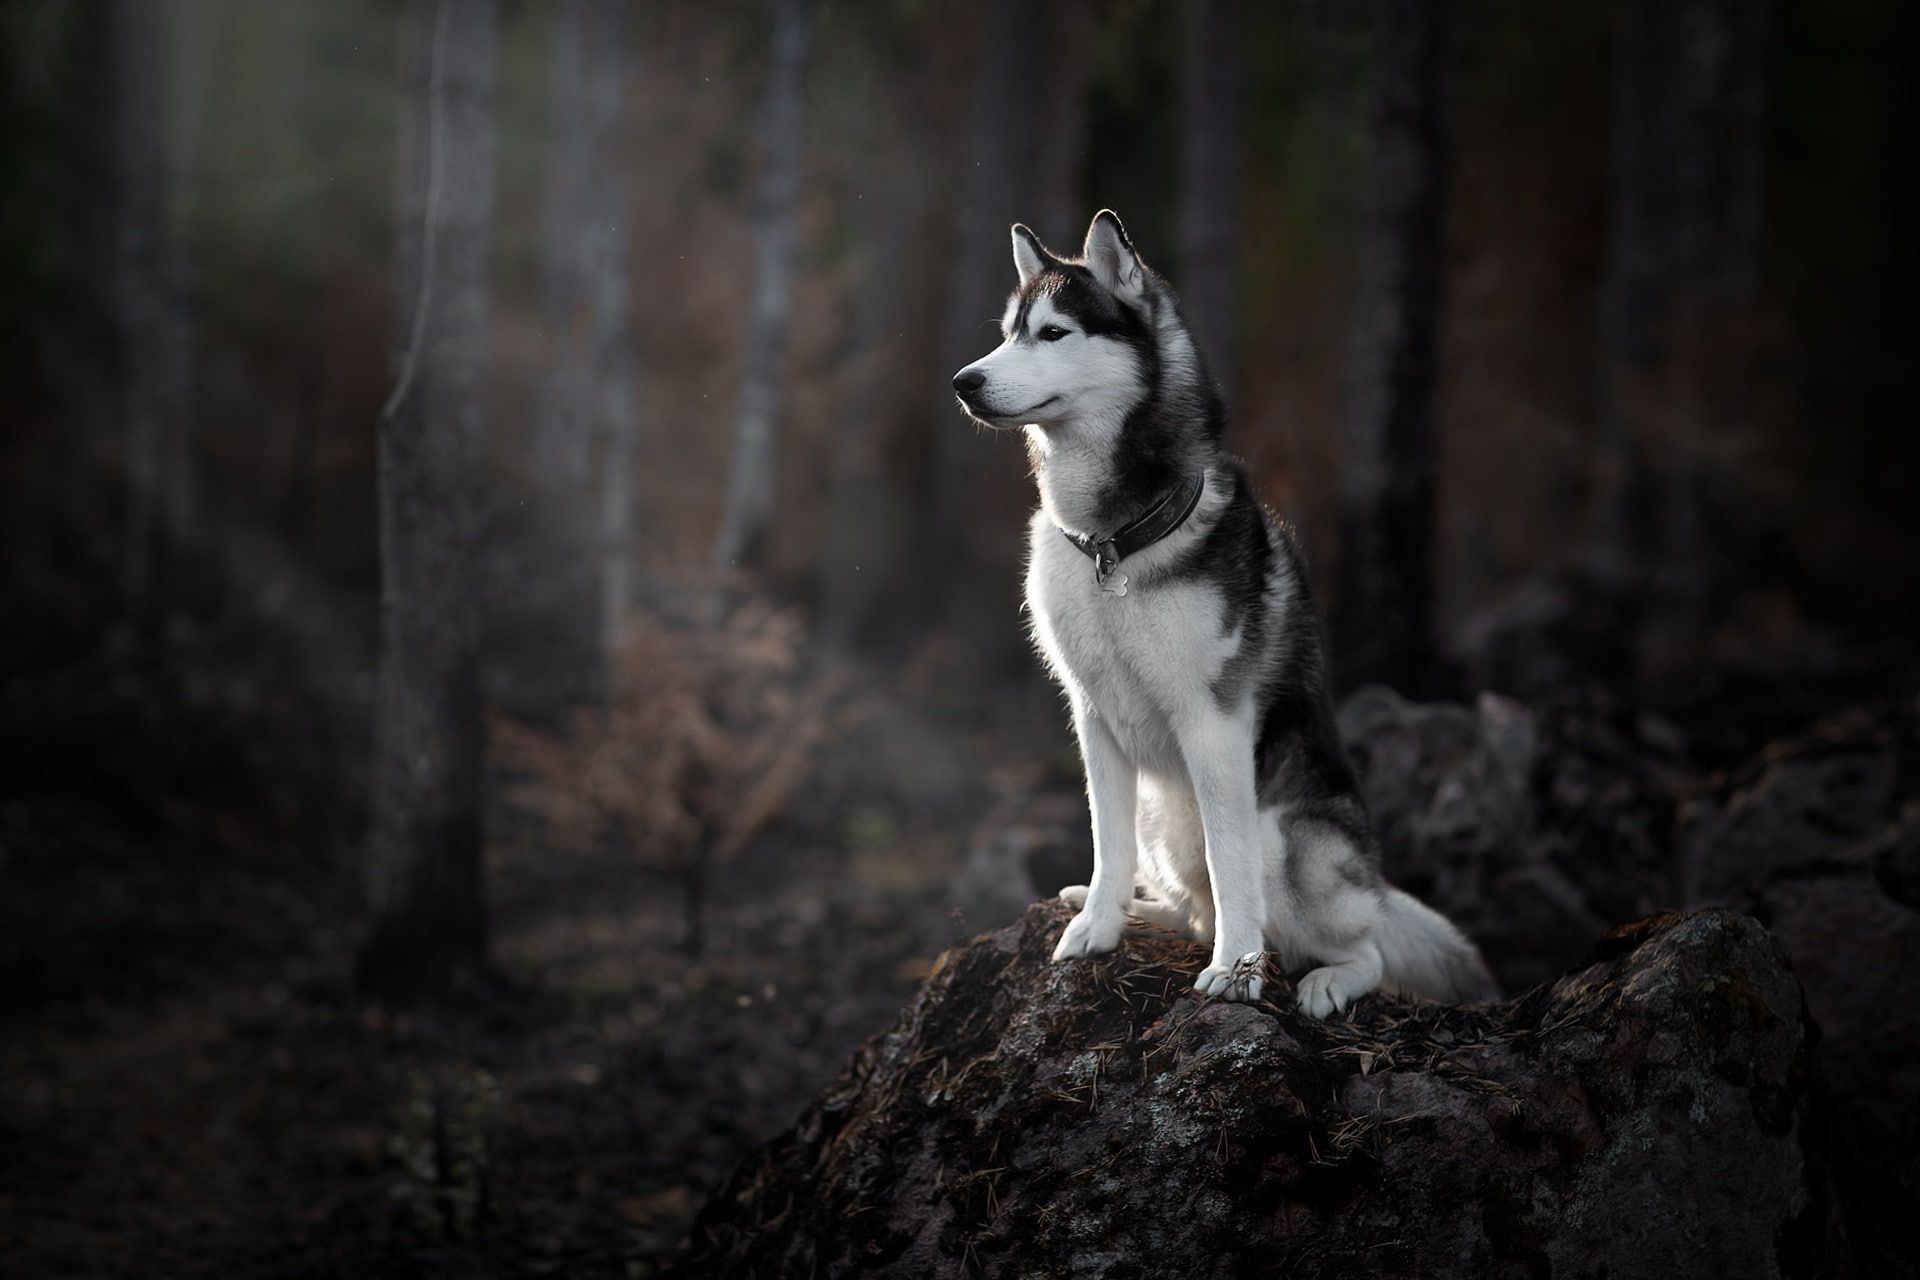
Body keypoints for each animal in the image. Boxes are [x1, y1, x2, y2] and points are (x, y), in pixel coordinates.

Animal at [948, 213, 1497, 1020]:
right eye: (1007, 334)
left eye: (1052, 333)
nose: (965, 381)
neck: (1115, 543)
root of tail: (1375, 886)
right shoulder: (1093, 716)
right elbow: (1106, 840)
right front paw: (1098, 925)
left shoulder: (1214, 726)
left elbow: (1229, 860)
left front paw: (1236, 972)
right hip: (1160, 816)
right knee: (1190, 904)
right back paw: (1133, 910)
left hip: (1284, 835)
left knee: (1358, 946)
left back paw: (1324, 980)